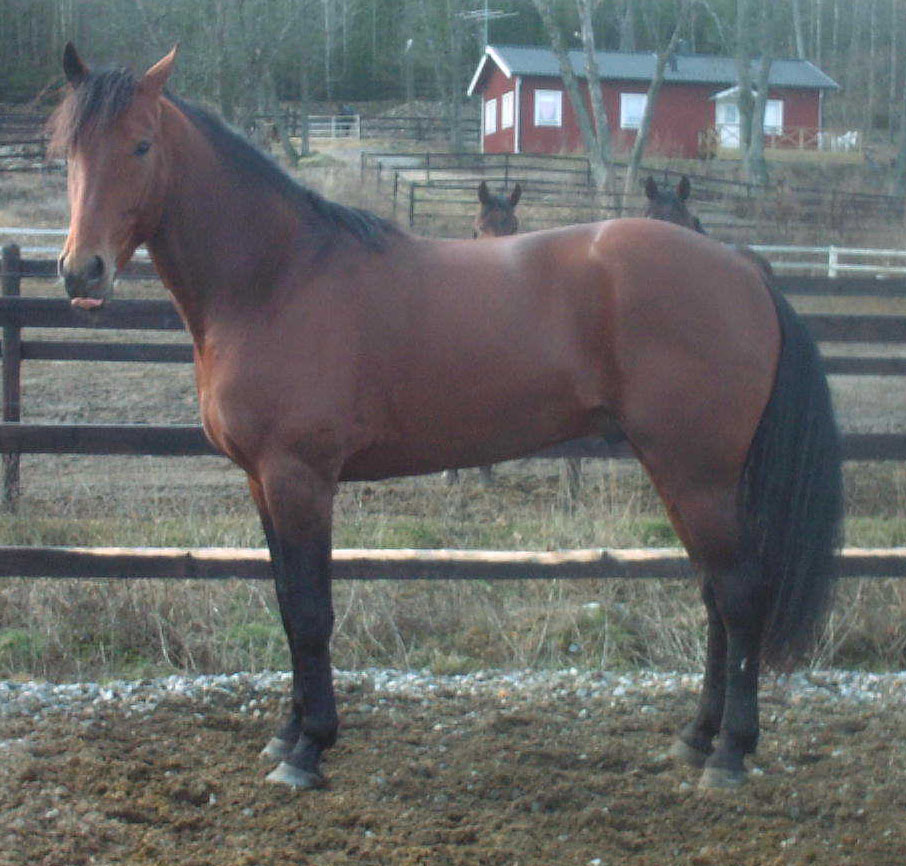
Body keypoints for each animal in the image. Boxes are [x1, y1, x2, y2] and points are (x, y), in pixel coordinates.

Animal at [51, 45, 840, 788]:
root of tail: (741, 268)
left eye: (141, 145)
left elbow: (310, 612)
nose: (80, 271)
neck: (275, 279)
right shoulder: (261, 481)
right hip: (681, 472)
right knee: (713, 594)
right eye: (70, 149)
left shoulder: (299, 477)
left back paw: (730, 754)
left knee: (738, 594)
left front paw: (309, 749)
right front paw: (286, 733)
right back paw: (696, 738)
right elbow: (284, 602)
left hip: (696, 472)